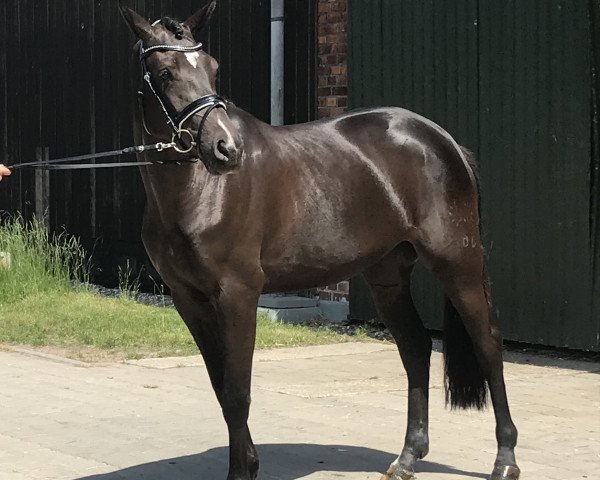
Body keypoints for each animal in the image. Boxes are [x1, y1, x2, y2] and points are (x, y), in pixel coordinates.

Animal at [118, 1, 520, 478]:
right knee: (416, 347)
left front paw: (244, 468)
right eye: (164, 72)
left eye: (213, 68)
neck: (200, 192)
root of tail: (444, 141)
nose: (226, 148)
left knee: (487, 342)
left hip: (458, 262)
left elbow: (237, 393)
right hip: (387, 273)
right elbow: (221, 388)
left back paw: (505, 459)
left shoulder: (237, 294)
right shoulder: (188, 299)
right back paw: (407, 457)